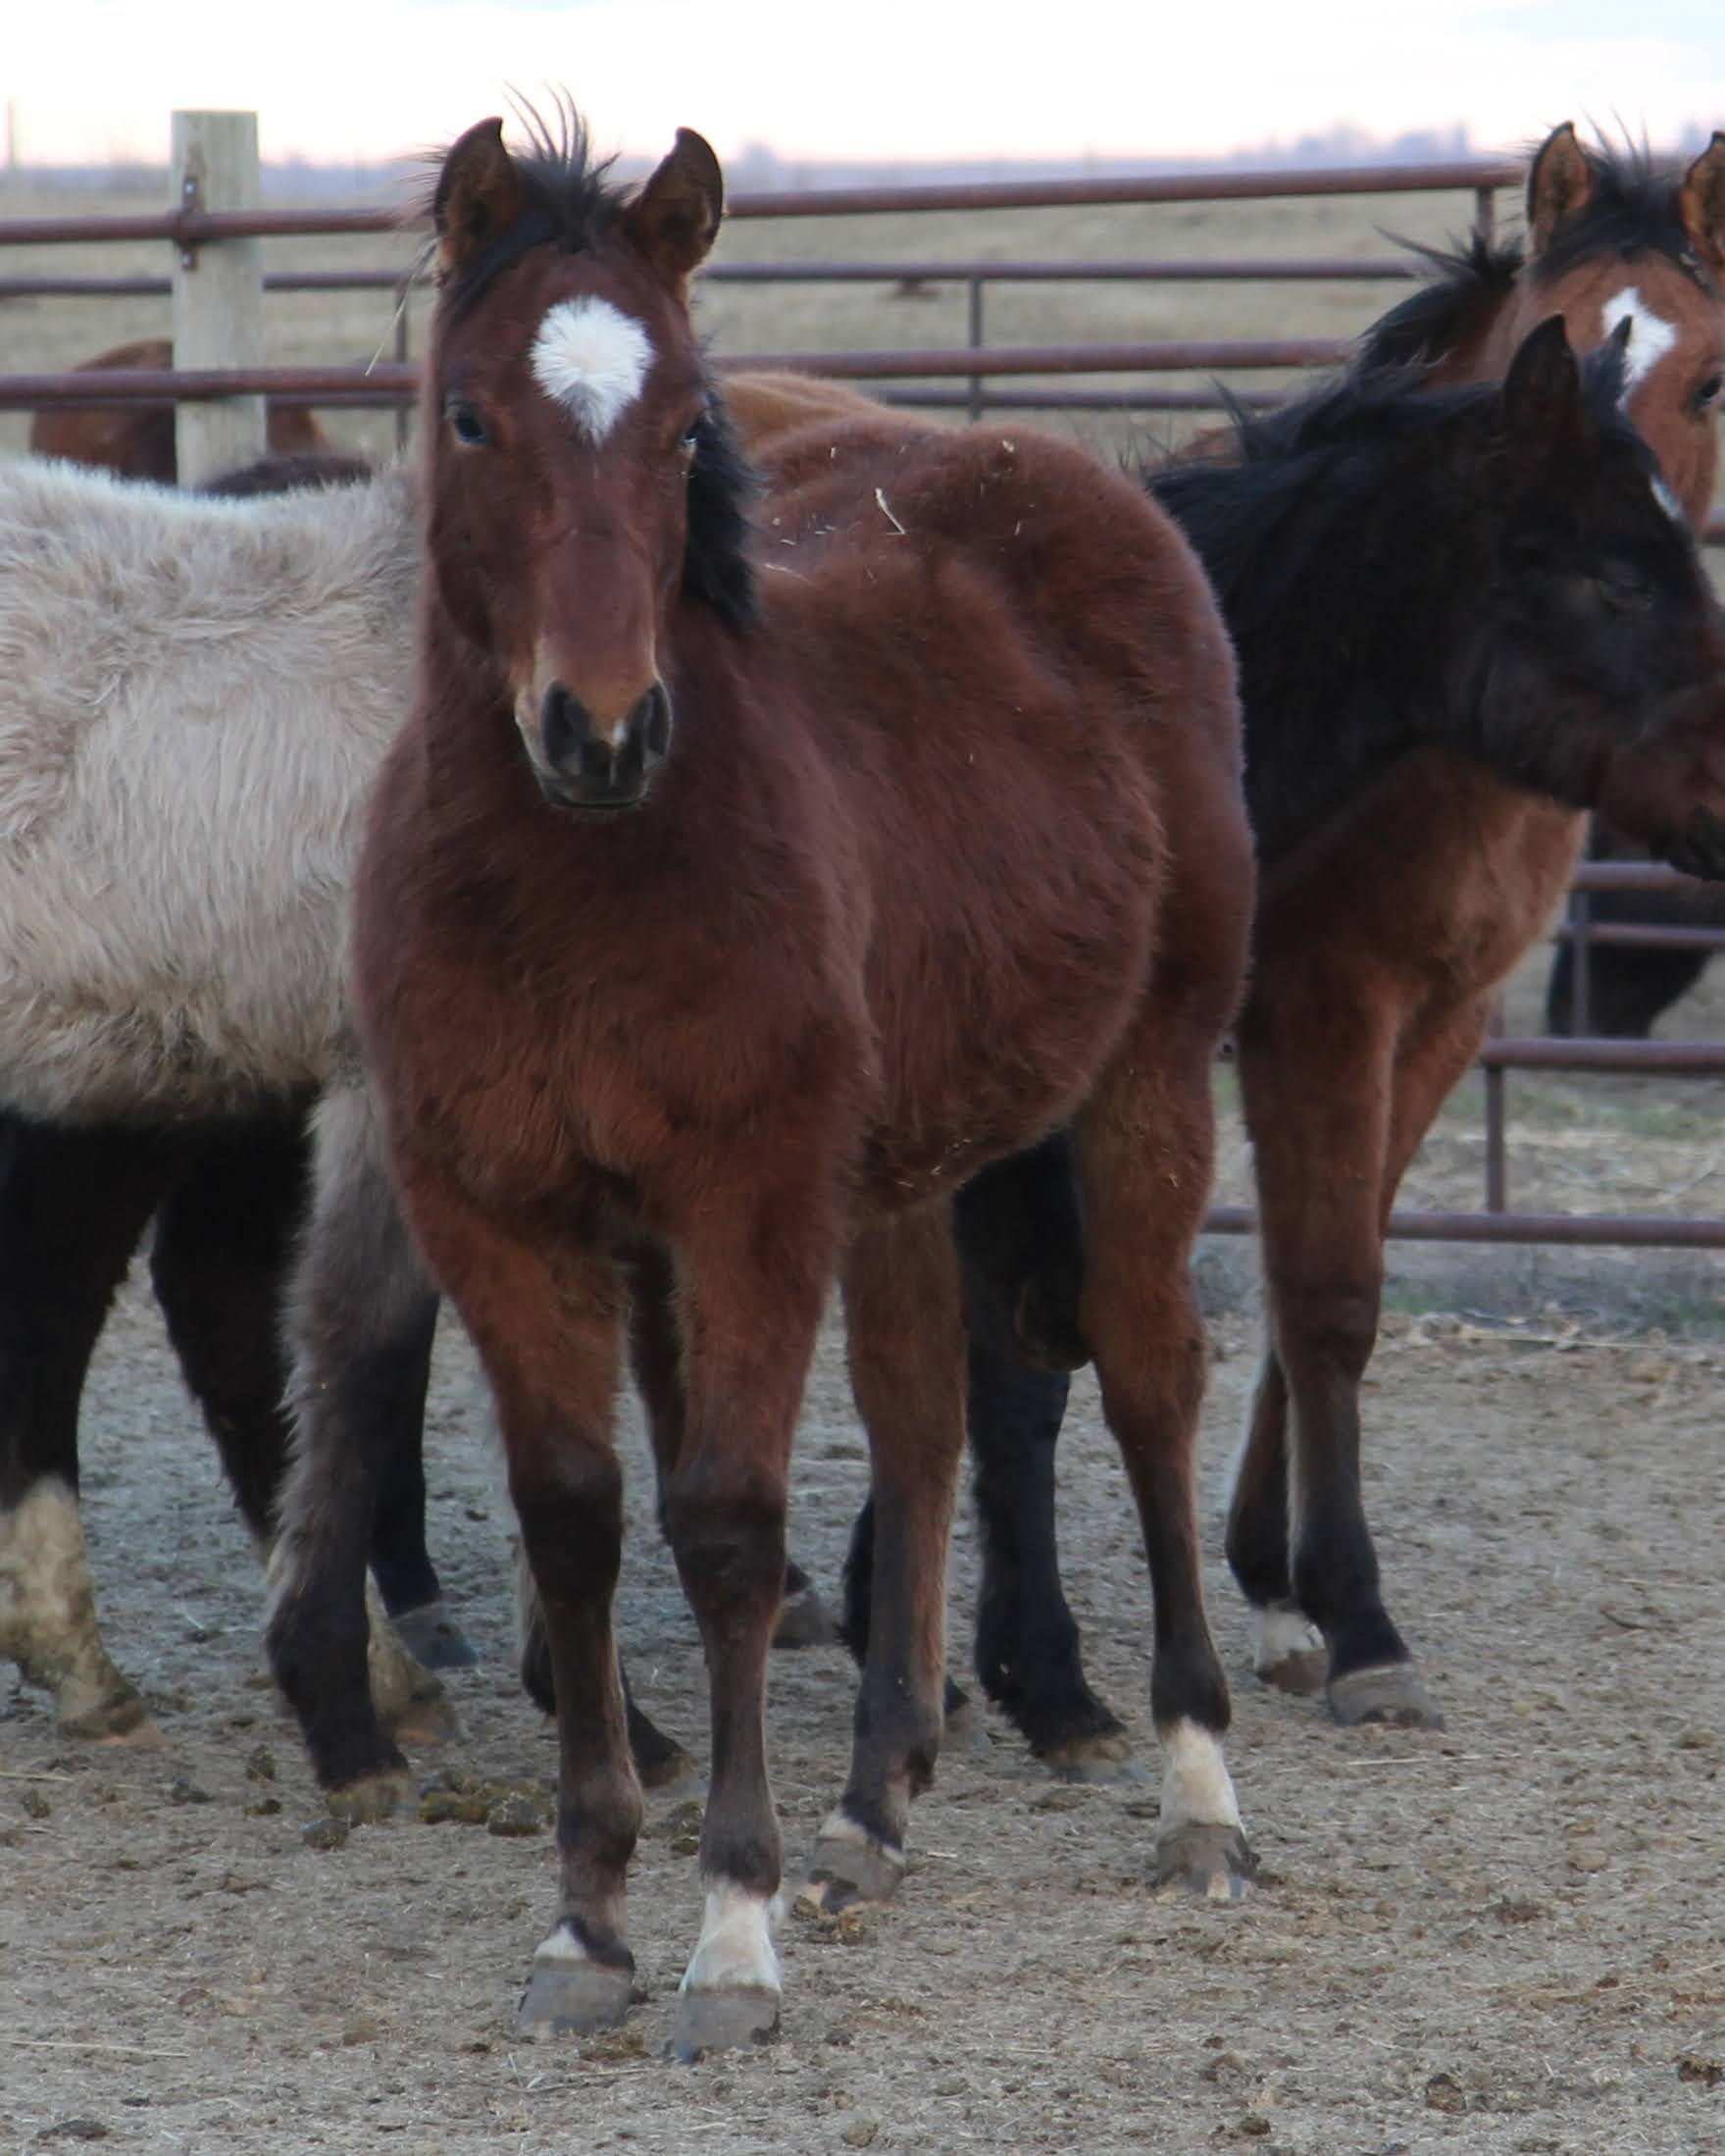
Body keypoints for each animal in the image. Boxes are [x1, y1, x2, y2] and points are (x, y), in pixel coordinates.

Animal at [264, 108, 1256, 2057]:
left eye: (679, 424)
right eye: (472, 414)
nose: (599, 728)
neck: (576, 883)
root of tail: (1078, 482)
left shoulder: (743, 1201)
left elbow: (724, 1524)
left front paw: (727, 1925)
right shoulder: (505, 1211)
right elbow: (578, 1519)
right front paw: (586, 1918)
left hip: (1145, 1079)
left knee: (1148, 1375)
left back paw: (1193, 1785)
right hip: (900, 1164)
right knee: (925, 1416)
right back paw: (875, 1808)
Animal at [866, 122, 1725, 1767]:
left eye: (1709, 375)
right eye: (1556, 333)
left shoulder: (1437, 1021)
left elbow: (1317, 1275)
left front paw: (1271, 1580)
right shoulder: (1314, 1009)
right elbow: (1303, 1294)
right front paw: (1351, 1618)